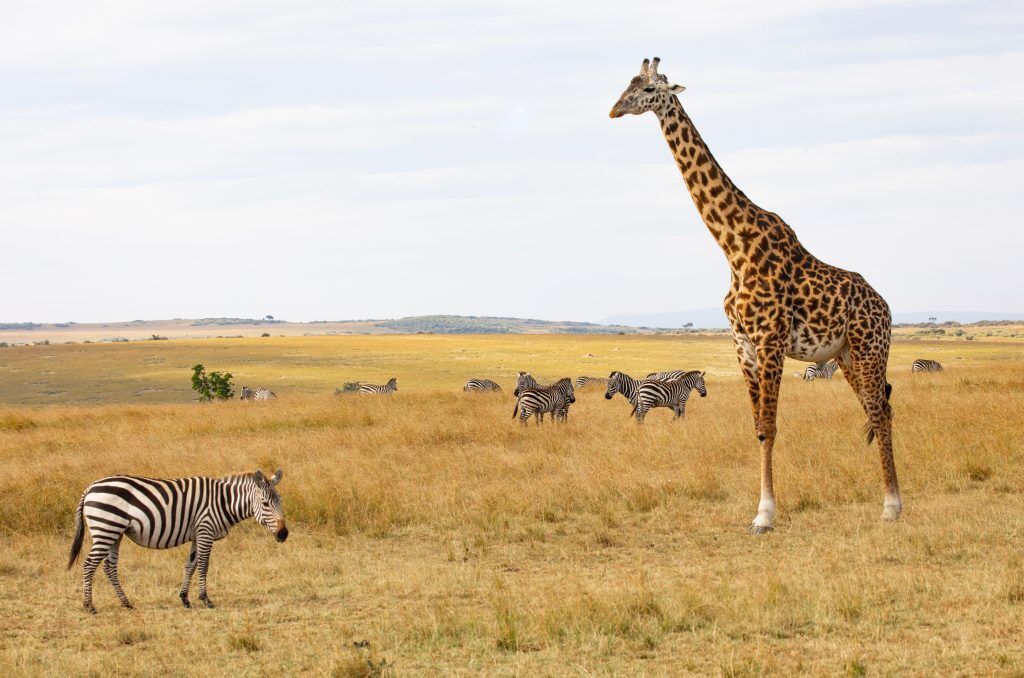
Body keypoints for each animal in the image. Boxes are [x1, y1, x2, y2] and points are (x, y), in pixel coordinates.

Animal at [67, 469, 287, 613]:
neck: (223, 502)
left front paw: (185, 599)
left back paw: (126, 603)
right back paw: (89, 605)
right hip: (106, 529)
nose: (283, 534)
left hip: (115, 532)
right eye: (265, 503)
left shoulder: (198, 534)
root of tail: (90, 487)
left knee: (109, 567)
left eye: (280, 502)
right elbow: (204, 565)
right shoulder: (205, 530)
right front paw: (205, 599)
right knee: (89, 565)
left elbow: (190, 565)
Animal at [610, 58, 901, 533]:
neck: (734, 247)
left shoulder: (770, 341)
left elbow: (770, 427)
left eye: (650, 89)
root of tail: (887, 308)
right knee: (879, 410)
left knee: (878, 410)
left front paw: (765, 515)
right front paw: (762, 510)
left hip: (870, 349)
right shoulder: (743, 345)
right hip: (846, 355)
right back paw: (891, 501)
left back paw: (892, 505)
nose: (614, 109)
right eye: (627, 83)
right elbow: (757, 427)